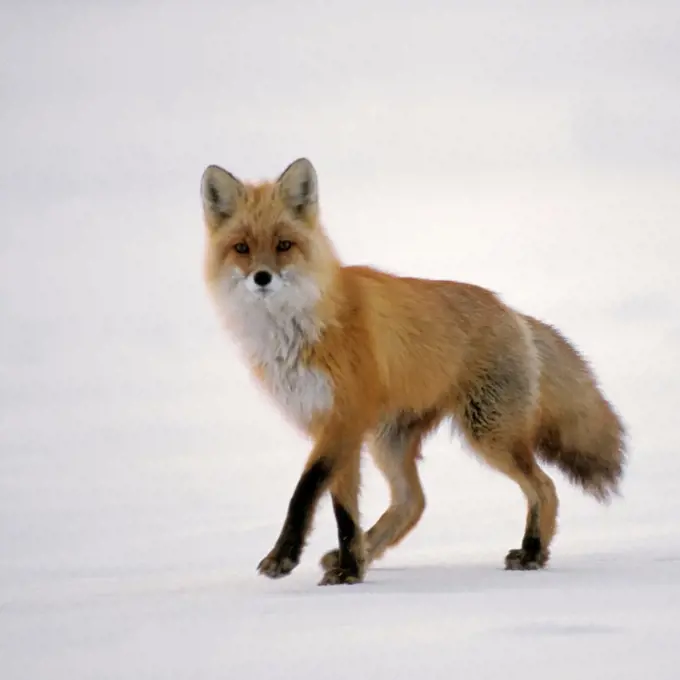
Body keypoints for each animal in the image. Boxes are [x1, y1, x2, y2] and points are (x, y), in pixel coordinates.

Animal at [201, 158, 628, 584]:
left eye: (284, 245)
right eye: (242, 248)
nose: (262, 277)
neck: (299, 329)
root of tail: (511, 310)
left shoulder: (344, 418)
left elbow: (305, 491)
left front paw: (289, 557)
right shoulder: (332, 423)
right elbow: (345, 512)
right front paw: (349, 568)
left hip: (489, 433)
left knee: (544, 486)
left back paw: (533, 552)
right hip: (390, 441)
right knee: (413, 502)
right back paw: (360, 554)